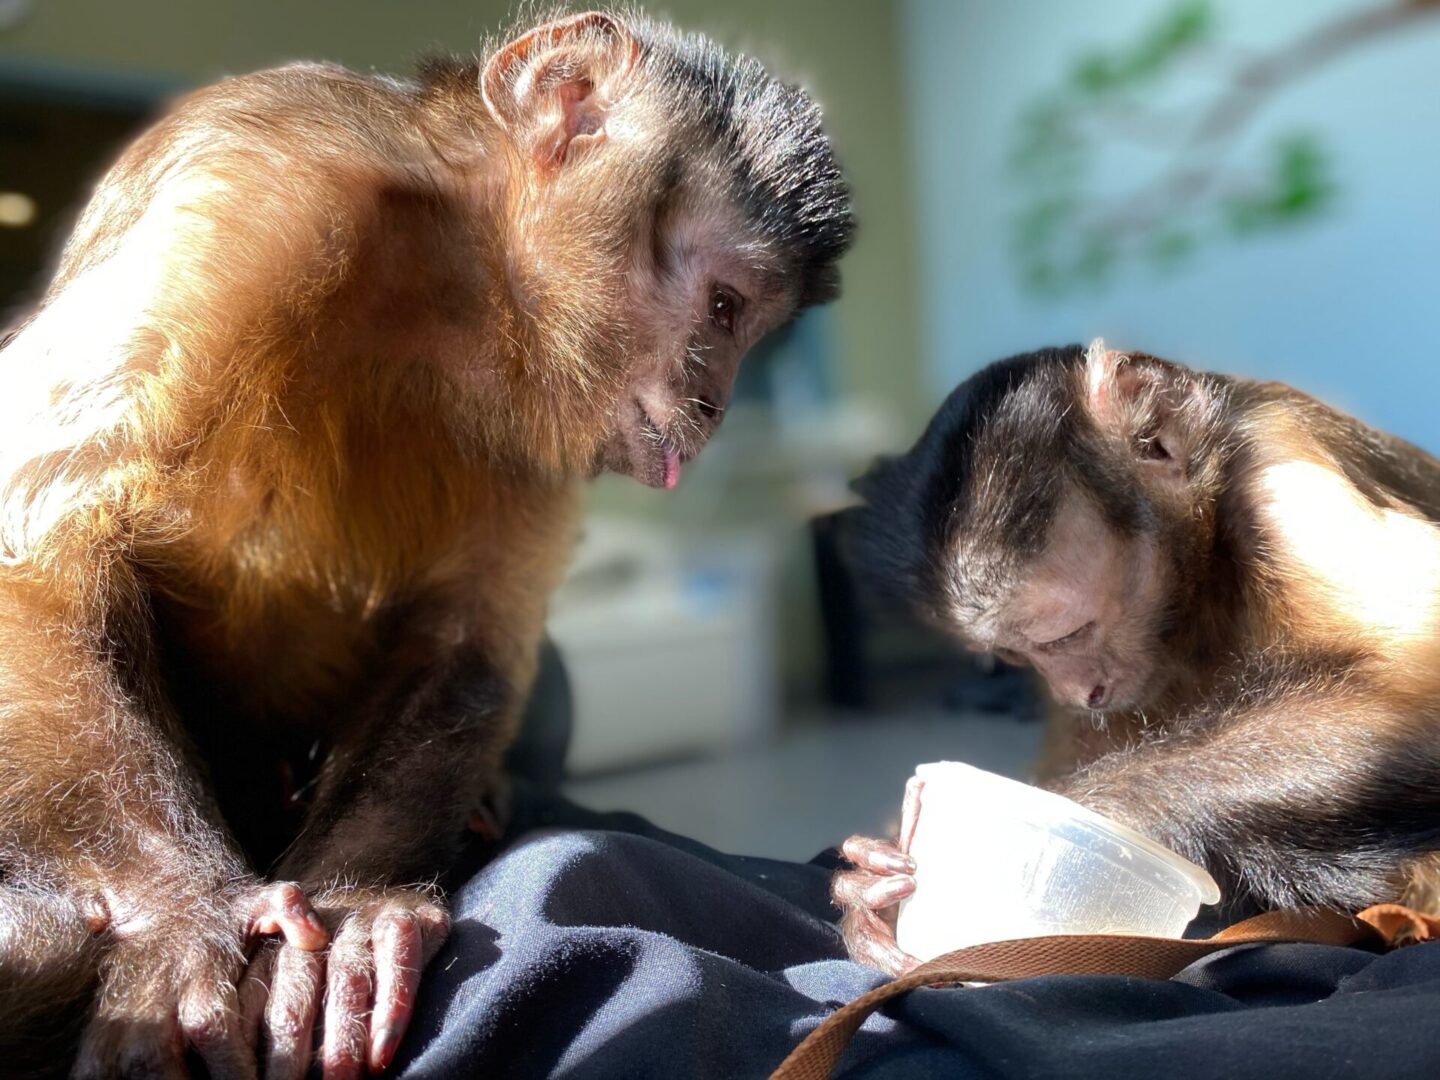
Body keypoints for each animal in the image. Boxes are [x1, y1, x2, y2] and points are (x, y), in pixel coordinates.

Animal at [0, 10, 852, 1080]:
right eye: (727, 308)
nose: (716, 405)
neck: (454, 286)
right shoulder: (273, 183)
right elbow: (44, 538)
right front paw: (177, 916)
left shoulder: (541, 417)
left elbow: (466, 638)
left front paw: (354, 913)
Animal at [840, 342, 1440, 979]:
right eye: (1012, 654)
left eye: (1067, 634)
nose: (1078, 691)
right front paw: (868, 886)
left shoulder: (1275, 456)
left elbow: (1415, 699)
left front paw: (1074, 820)